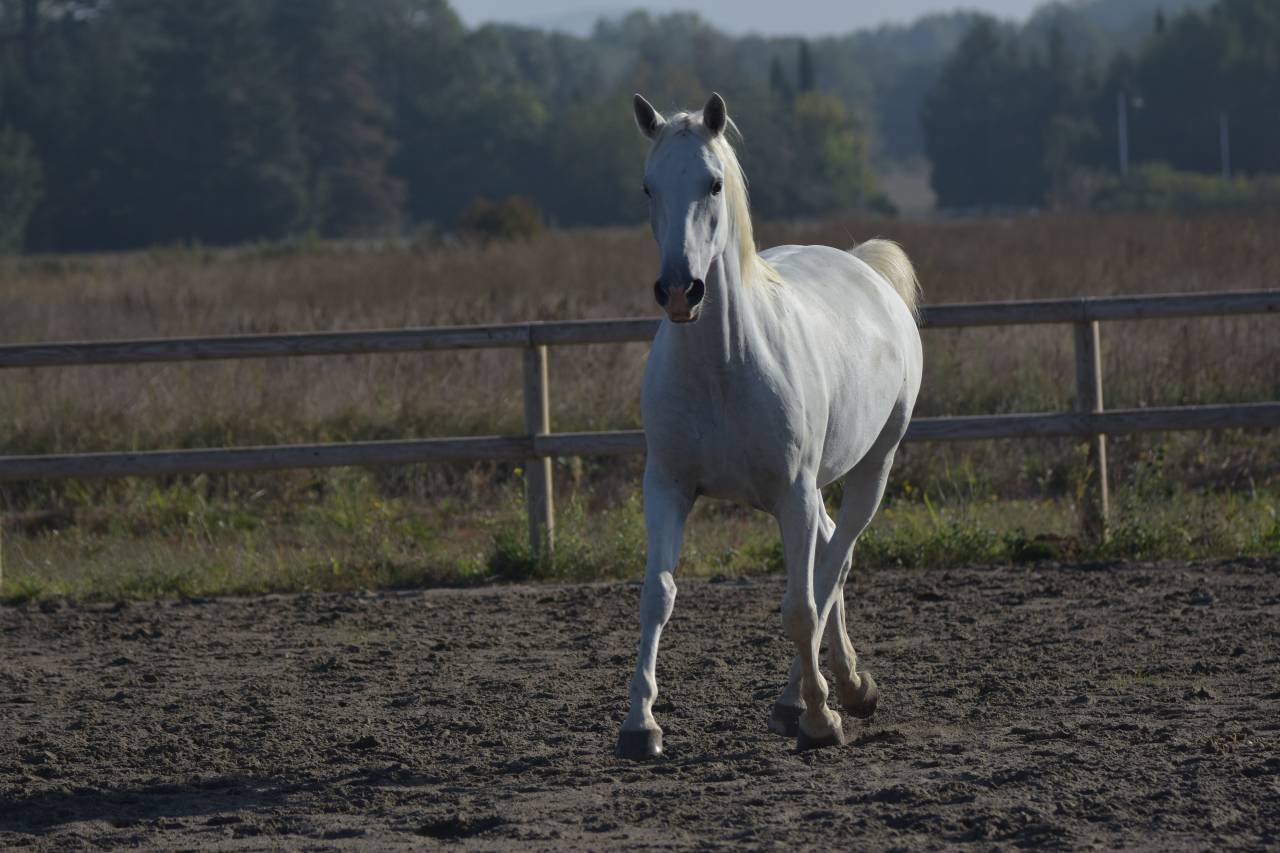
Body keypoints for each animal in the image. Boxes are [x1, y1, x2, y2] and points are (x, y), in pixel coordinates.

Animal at [616, 92, 924, 759]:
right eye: (647, 187)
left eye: (713, 183)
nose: (678, 290)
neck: (722, 368)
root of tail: (864, 268)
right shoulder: (667, 487)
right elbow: (658, 595)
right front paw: (640, 724)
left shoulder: (794, 493)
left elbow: (800, 608)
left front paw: (819, 719)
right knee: (833, 554)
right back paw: (847, 683)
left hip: (871, 470)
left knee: (833, 562)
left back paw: (808, 701)